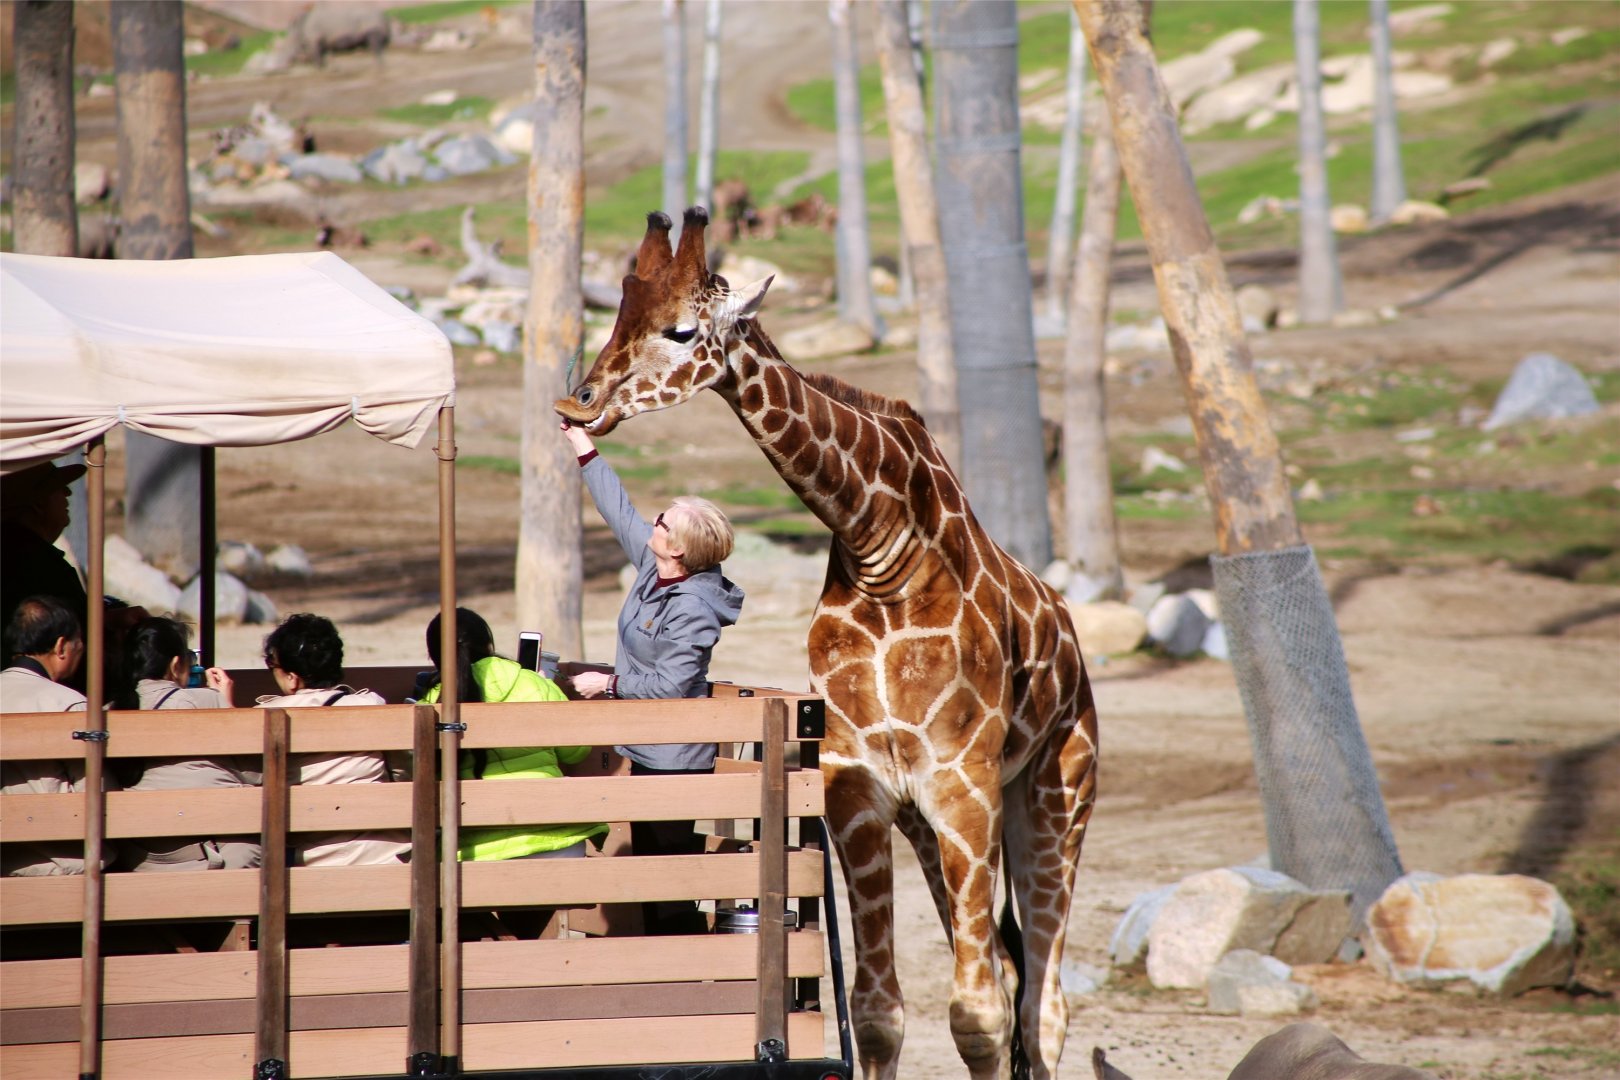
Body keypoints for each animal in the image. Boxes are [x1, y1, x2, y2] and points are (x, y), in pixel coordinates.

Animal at [555, 208, 1098, 1080]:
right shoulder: (859, 790)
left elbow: (977, 1016)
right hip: (936, 824)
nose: (578, 404)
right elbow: (878, 1015)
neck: (886, 550)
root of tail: (1073, 645)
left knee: (1041, 1006)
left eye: (680, 329)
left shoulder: (965, 788)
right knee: (1015, 979)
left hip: (1056, 794)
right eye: (617, 317)